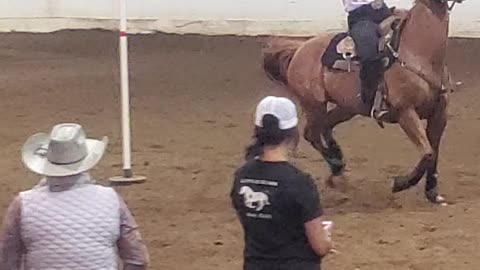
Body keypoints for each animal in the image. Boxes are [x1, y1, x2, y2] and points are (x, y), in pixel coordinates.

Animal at [260, 0, 464, 202]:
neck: (419, 52)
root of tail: (299, 49)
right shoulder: (405, 112)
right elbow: (427, 153)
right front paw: (401, 183)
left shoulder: (439, 114)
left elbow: (433, 152)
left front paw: (432, 191)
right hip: (314, 105)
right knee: (312, 134)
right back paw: (337, 168)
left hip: (347, 108)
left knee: (325, 127)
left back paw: (338, 162)